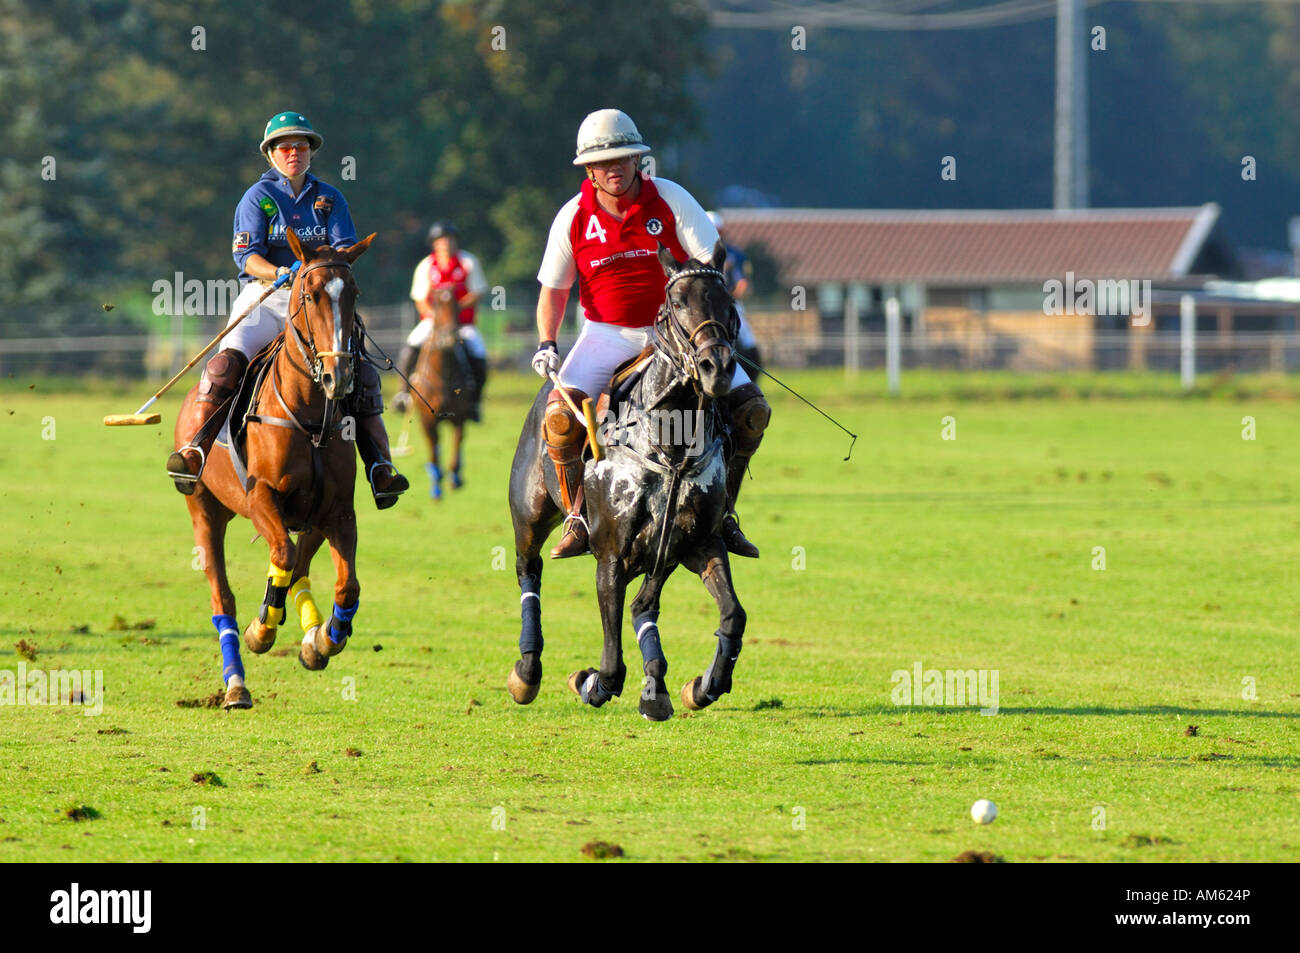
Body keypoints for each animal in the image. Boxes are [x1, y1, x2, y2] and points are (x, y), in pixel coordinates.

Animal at [176, 228, 377, 707]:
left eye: (354, 293)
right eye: (310, 292)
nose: (340, 377)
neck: (310, 416)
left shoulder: (337, 510)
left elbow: (347, 585)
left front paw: (325, 639)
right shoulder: (261, 496)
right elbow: (281, 557)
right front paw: (261, 629)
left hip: (309, 518)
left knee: (300, 568)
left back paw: (311, 635)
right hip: (204, 510)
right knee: (223, 597)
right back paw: (236, 684)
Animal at [410, 284, 473, 499]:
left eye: (456, 304)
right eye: (436, 304)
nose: (448, 337)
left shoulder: (460, 415)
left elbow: (457, 441)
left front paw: (454, 477)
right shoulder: (427, 419)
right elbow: (433, 444)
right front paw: (436, 481)